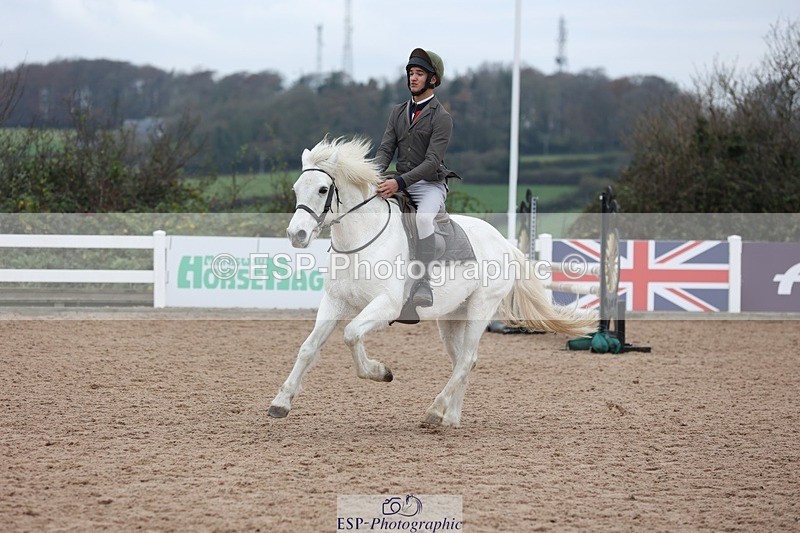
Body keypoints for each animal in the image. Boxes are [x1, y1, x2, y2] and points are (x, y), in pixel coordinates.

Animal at [268, 136, 596, 428]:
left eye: (323, 189)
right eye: (297, 188)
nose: (297, 235)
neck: (361, 239)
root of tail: (504, 243)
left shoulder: (386, 305)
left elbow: (350, 334)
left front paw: (380, 372)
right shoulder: (335, 301)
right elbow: (309, 348)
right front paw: (280, 403)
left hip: (480, 308)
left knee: (466, 360)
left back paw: (435, 410)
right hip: (452, 317)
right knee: (463, 360)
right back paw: (450, 418)